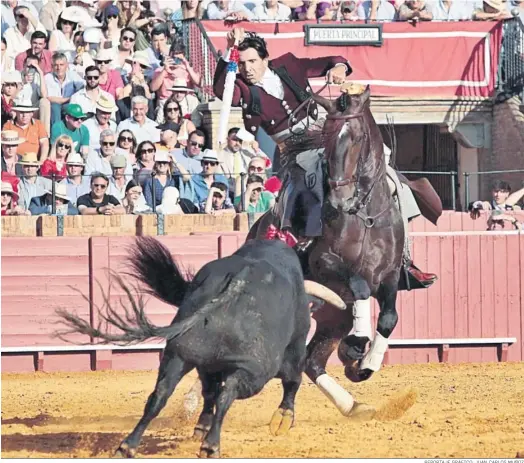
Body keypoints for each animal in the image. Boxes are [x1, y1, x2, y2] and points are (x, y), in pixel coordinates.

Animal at [55, 237, 346, 458]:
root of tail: (237, 283)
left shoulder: (204, 364)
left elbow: (206, 394)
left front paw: (201, 426)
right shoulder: (294, 347)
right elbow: (293, 381)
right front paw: (283, 419)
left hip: (178, 355)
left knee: (161, 394)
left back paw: (129, 446)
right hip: (252, 371)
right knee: (228, 394)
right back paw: (211, 446)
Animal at [248, 84, 404, 420]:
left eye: (356, 137)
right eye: (328, 137)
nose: (339, 199)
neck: (365, 215)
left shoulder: (391, 274)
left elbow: (388, 318)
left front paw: (364, 363)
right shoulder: (325, 263)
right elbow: (359, 286)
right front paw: (358, 344)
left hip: (333, 318)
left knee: (311, 361)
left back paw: (352, 404)